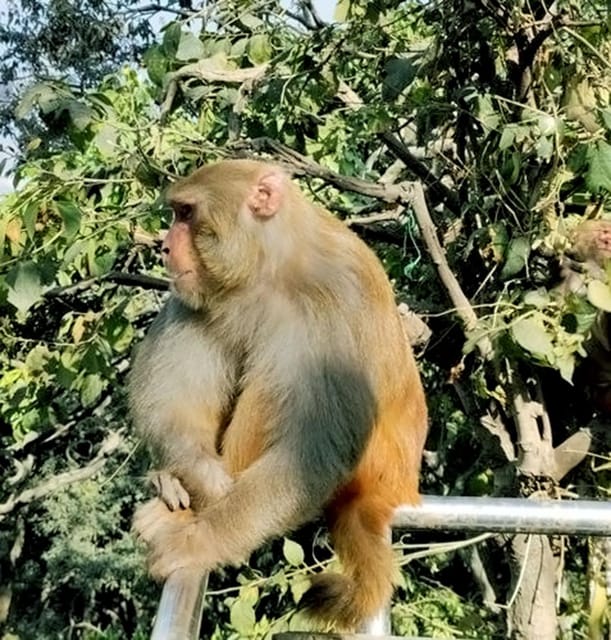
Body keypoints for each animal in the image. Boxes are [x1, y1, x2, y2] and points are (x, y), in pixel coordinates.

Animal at [131, 160, 428, 632]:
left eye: (186, 214)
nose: (163, 247)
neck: (269, 268)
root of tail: (398, 486)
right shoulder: (202, 293)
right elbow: (168, 396)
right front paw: (201, 479)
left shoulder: (337, 300)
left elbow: (310, 453)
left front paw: (199, 538)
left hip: (371, 469)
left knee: (275, 382)